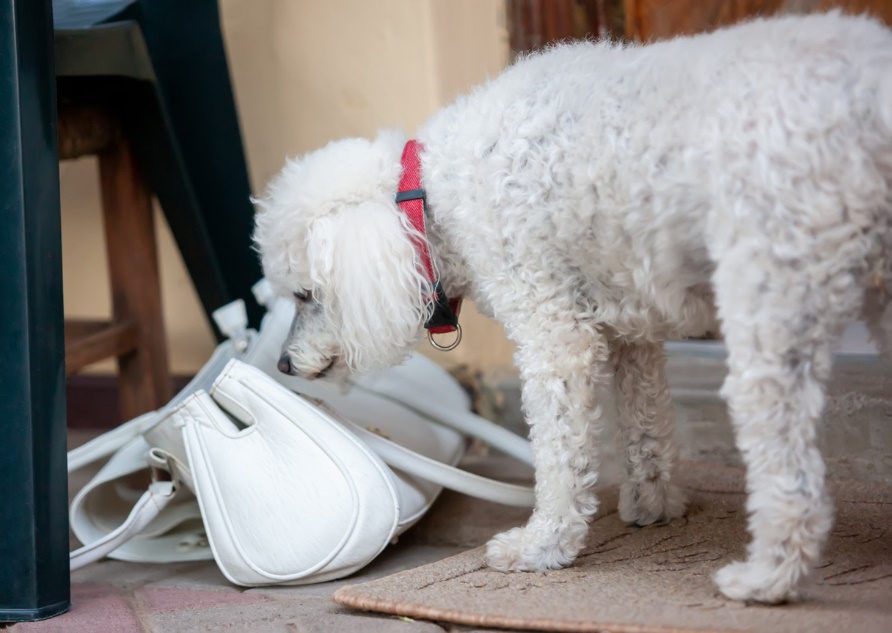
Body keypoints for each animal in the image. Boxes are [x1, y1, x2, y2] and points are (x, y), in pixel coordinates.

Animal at [253, 11, 892, 604]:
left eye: (306, 294)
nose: (282, 365)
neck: (431, 193)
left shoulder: (554, 333)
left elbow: (560, 454)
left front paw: (542, 546)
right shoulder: (635, 329)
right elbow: (645, 423)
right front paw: (653, 504)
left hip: (772, 303)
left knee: (790, 469)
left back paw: (768, 579)